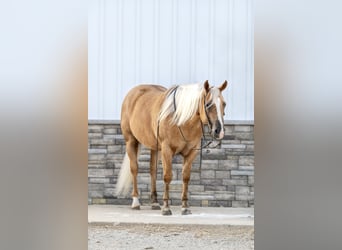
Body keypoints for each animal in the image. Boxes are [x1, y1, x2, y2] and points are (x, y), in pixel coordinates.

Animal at [116, 80, 228, 215]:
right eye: (208, 104)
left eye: (224, 104)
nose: (219, 131)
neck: (181, 119)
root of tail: (132, 94)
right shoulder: (166, 150)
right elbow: (167, 176)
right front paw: (166, 207)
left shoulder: (191, 153)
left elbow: (186, 177)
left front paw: (185, 207)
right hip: (131, 141)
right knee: (134, 169)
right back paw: (136, 201)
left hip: (155, 147)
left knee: (153, 171)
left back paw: (154, 202)